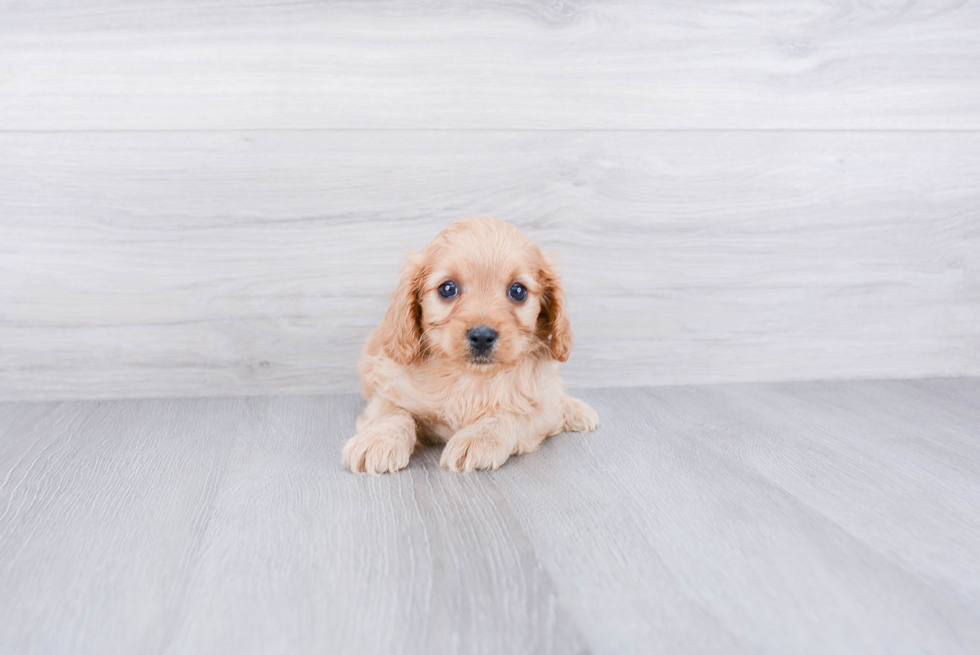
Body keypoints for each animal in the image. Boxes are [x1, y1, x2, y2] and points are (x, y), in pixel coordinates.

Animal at [340, 218, 596, 474]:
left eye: (518, 291)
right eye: (447, 288)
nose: (482, 336)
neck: (471, 377)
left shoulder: (540, 410)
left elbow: (513, 413)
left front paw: (477, 438)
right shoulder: (389, 389)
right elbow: (391, 413)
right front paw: (377, 440)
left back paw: (578, 411)